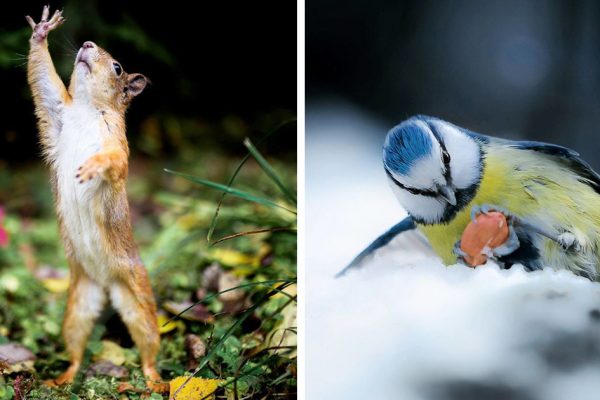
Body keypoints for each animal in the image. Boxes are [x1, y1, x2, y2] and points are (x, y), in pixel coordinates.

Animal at [25, 5, 166, 394]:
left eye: (117, 67)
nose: (87, 44)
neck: (89, 109)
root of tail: (105, 282)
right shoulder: (56, 114)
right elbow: (43, 84)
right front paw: (41, 32)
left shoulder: (117, 144)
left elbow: (114, 163)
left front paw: (92, 167)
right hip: (77, 306)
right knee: (75, 345)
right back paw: (62, 378)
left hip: (137, 298)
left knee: (148, 345)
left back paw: (154, 381)